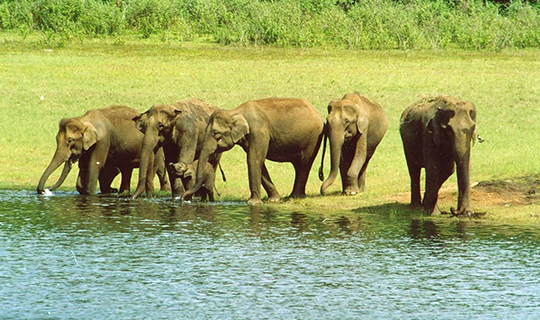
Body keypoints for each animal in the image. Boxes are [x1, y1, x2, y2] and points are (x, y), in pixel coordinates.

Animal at [37, 105, 169, 195]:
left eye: (70, 140)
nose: (45, 190)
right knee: (126, 169)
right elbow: (84, 166)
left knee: (153, 169)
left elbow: (95, 165)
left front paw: (91, 193)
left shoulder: (102, 140)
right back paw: (122, 193)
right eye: (56, 139)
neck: (83, 120)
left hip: (156, 149)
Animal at [181, 96, 324, 205]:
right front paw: (274, 199)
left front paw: (253, 203)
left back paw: (295, 197)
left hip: (312, 139)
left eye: (216, 133)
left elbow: (253, 159)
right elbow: (259, 162)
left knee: (304, 164)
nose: (183, 198)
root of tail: (317, 113)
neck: (235, 111)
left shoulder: (258, 131)